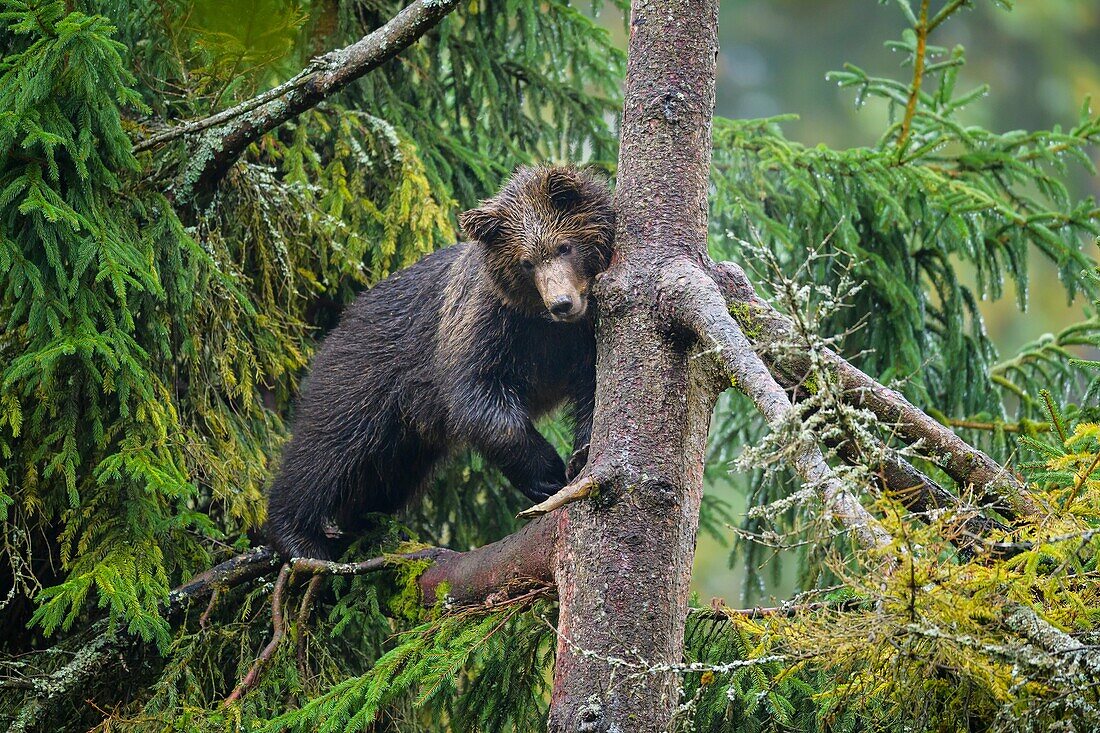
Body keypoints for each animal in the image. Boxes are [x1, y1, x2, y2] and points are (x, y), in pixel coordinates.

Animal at [262, 162, 616, 556]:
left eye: (564, 246)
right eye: (526, 262)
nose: (562, 303)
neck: (545, 324)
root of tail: (343, 317)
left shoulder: (580, 338)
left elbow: (594, 389)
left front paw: (580, 456)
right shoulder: (485, 323)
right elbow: (477, 396)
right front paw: (548, 473)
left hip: (406, 437)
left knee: (384, 477)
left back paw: (367, 528)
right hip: (362, 376)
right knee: (325, 449)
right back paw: (300, 538)